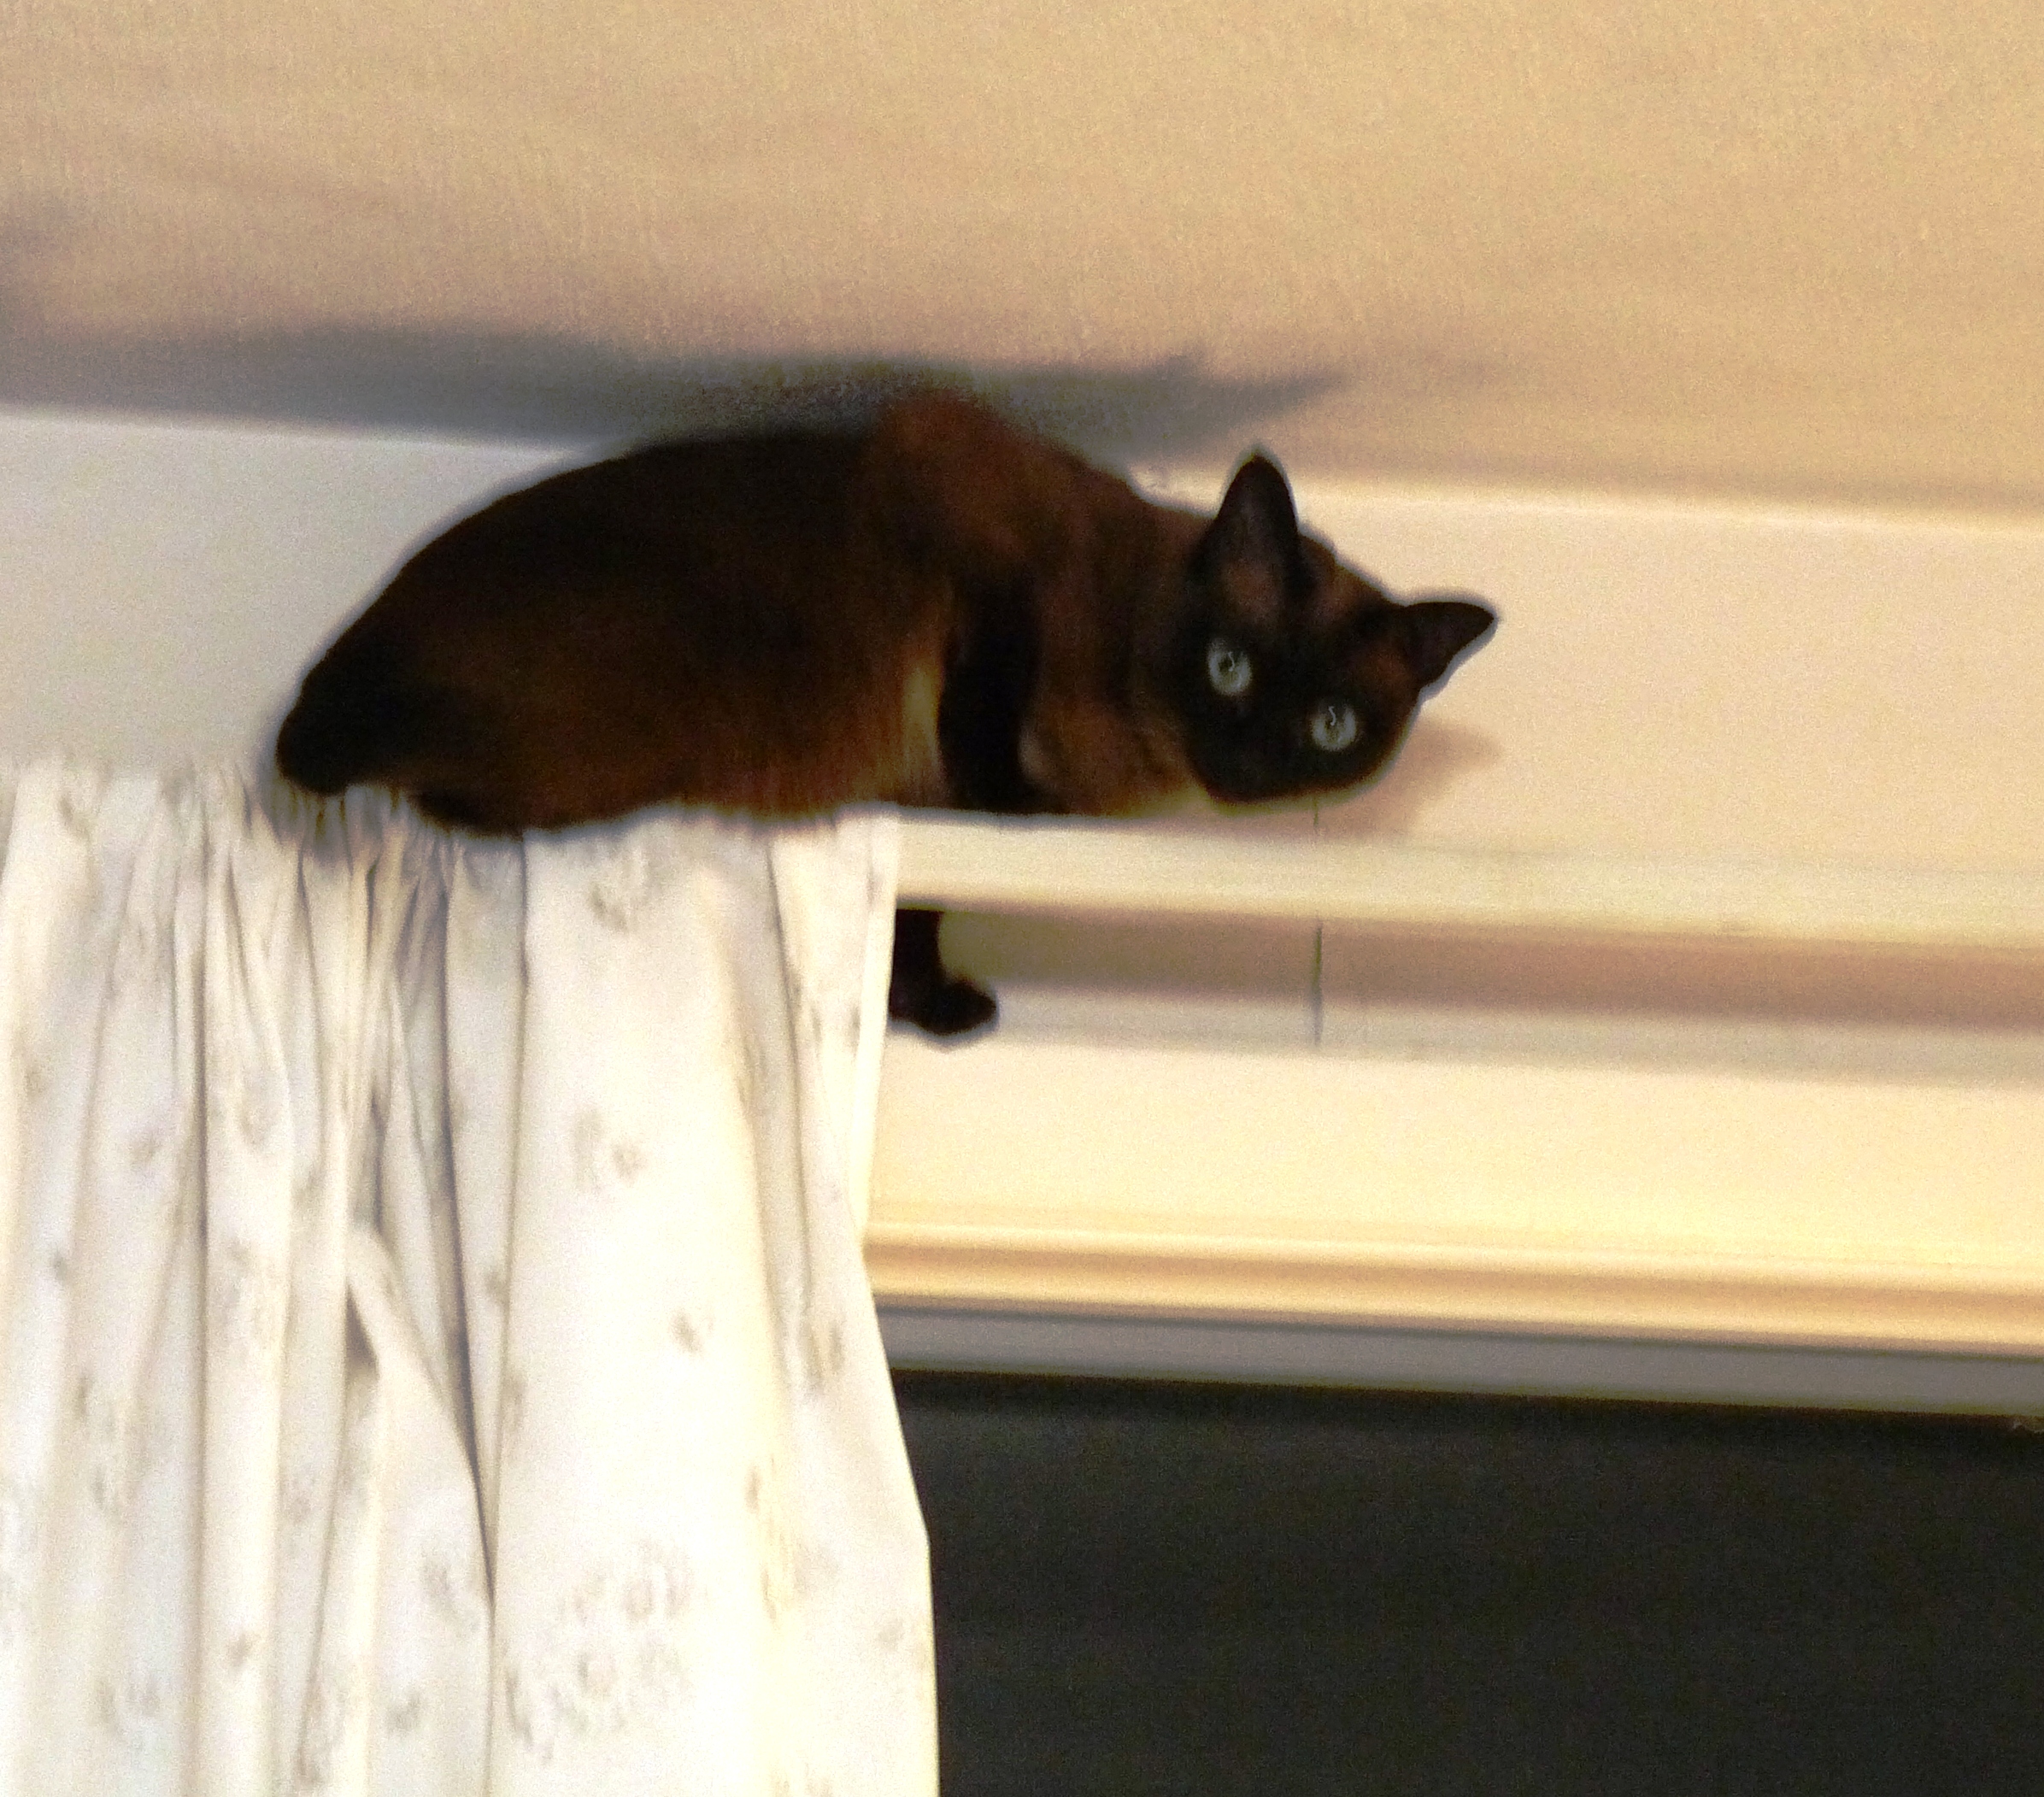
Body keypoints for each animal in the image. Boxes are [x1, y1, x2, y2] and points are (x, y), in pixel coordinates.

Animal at [279, 392, 1495, 1038]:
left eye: (1333, 724)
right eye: (1230, 667)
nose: (1247, 756)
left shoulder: (920, 811)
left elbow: (918, 920)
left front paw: (931, 1011)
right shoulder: (984, 583)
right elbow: (985, 736)